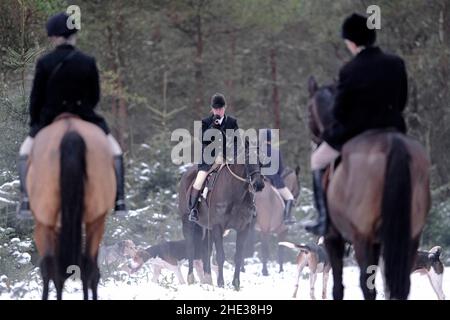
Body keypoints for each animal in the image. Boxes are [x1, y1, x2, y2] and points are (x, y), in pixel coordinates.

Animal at [178, 162, 266, 290]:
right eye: (247, 160)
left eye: (261, 161)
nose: (259, 184)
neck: (235, 192)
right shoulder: (217, 227)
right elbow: (220, 256)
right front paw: (221, 283)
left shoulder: (243, 228)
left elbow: (238, 256)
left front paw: (236, 284)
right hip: (187, 222)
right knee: (190, 248)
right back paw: (191, 279)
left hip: (208, 228)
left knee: (206, 250)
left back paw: (207, 280)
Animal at [308, 77, 430, 300]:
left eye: (308, 111)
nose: (317, 140)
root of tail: (393, 143)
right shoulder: (379, 241)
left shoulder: (333, 237)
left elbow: (338, 286)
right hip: (410, 237)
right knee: (400, 285)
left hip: (361, 238)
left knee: (367, 285)